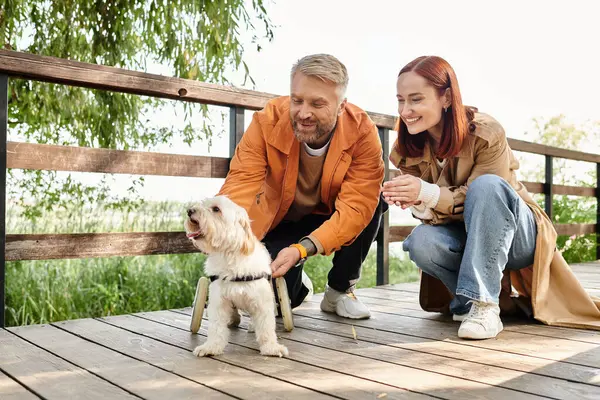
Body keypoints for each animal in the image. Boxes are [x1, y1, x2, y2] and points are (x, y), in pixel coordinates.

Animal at [184, 195, 290, 358]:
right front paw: (211, 347)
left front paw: (271, 348)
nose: (189, 211)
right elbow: (216, 327)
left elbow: (266, 327)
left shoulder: (262, 302)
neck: (230, 256)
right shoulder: (219, 301)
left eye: (216, 209)